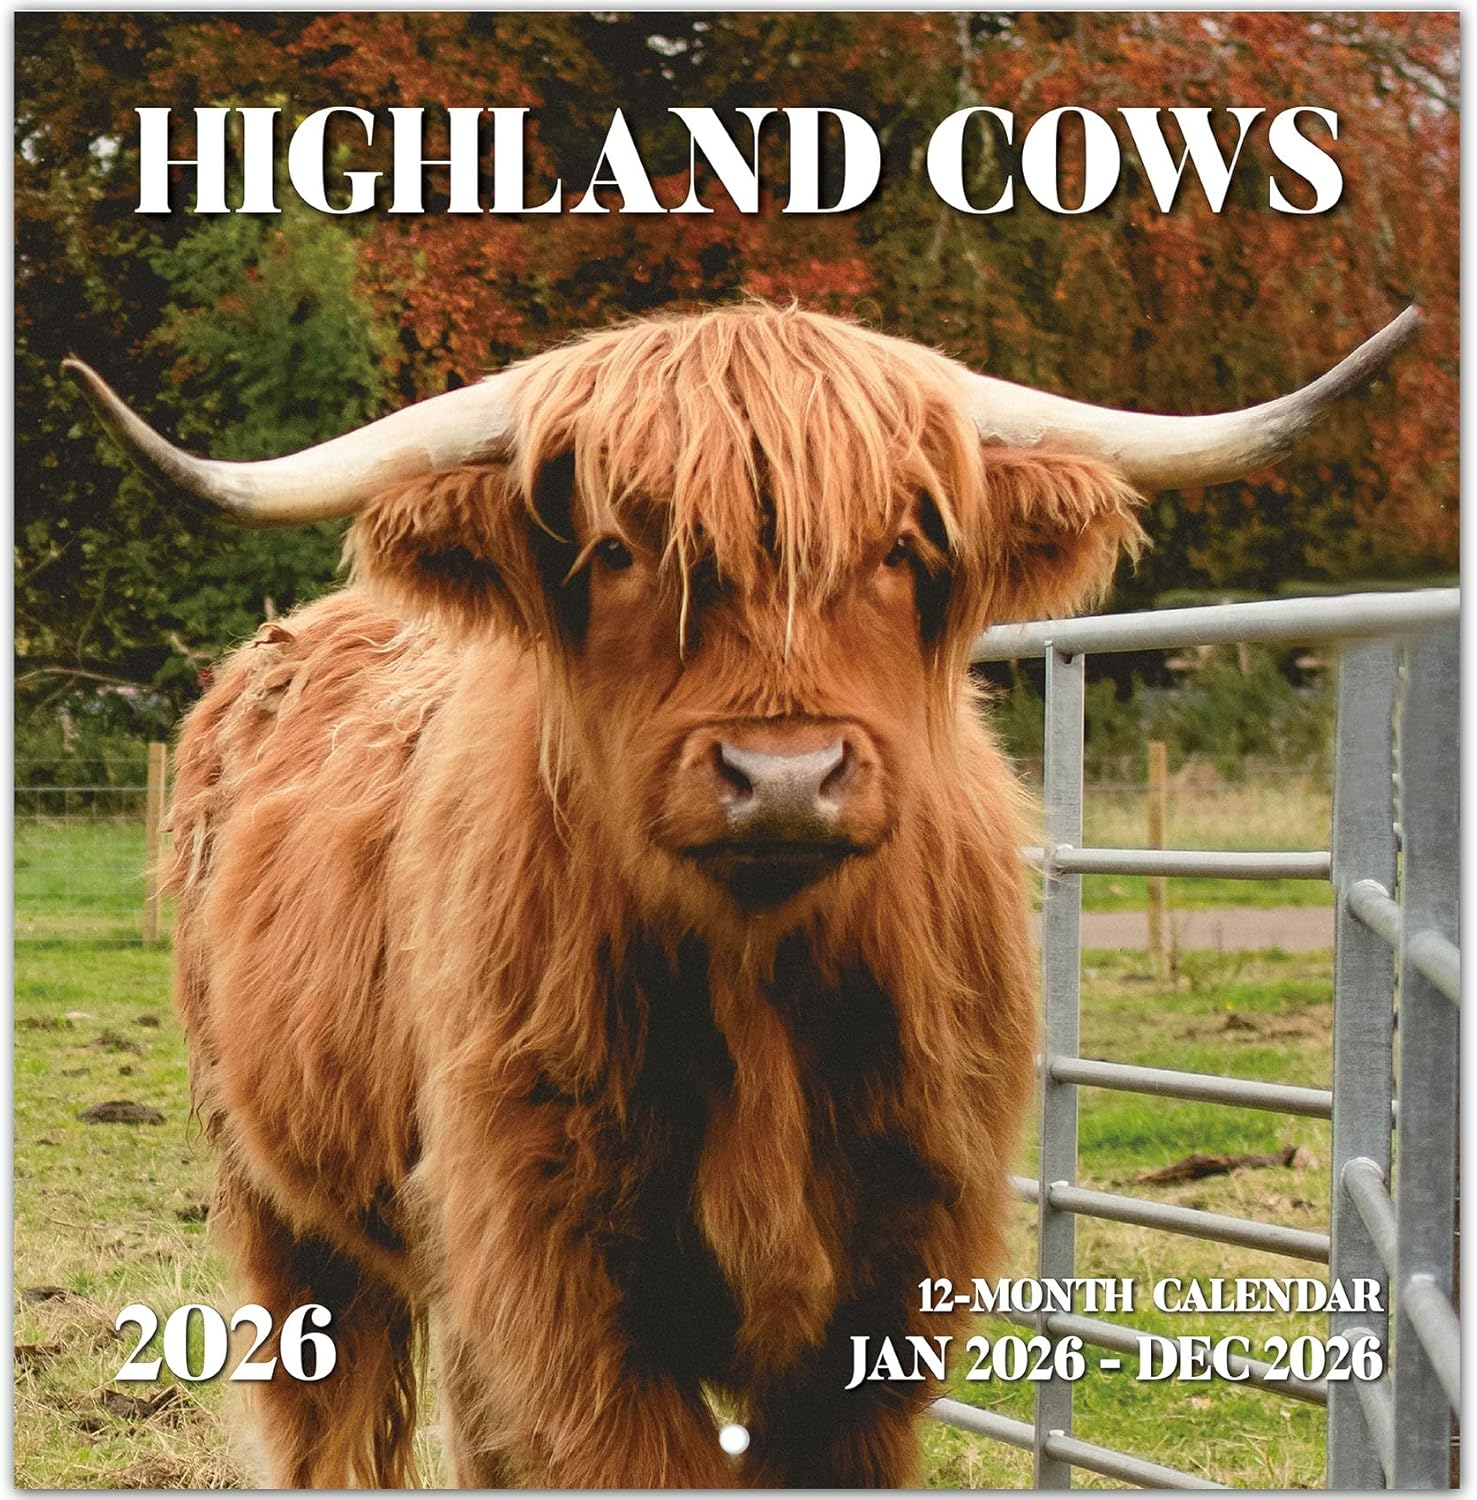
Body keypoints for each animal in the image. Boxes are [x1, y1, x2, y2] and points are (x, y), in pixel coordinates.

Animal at [66, 302, 1416, 1488]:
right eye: (618, 549)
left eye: (900, 548)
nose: (783, 778)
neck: (757, 985)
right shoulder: (557, 1278)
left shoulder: (890, 1284)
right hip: (286, 1207)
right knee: (334, 1416)